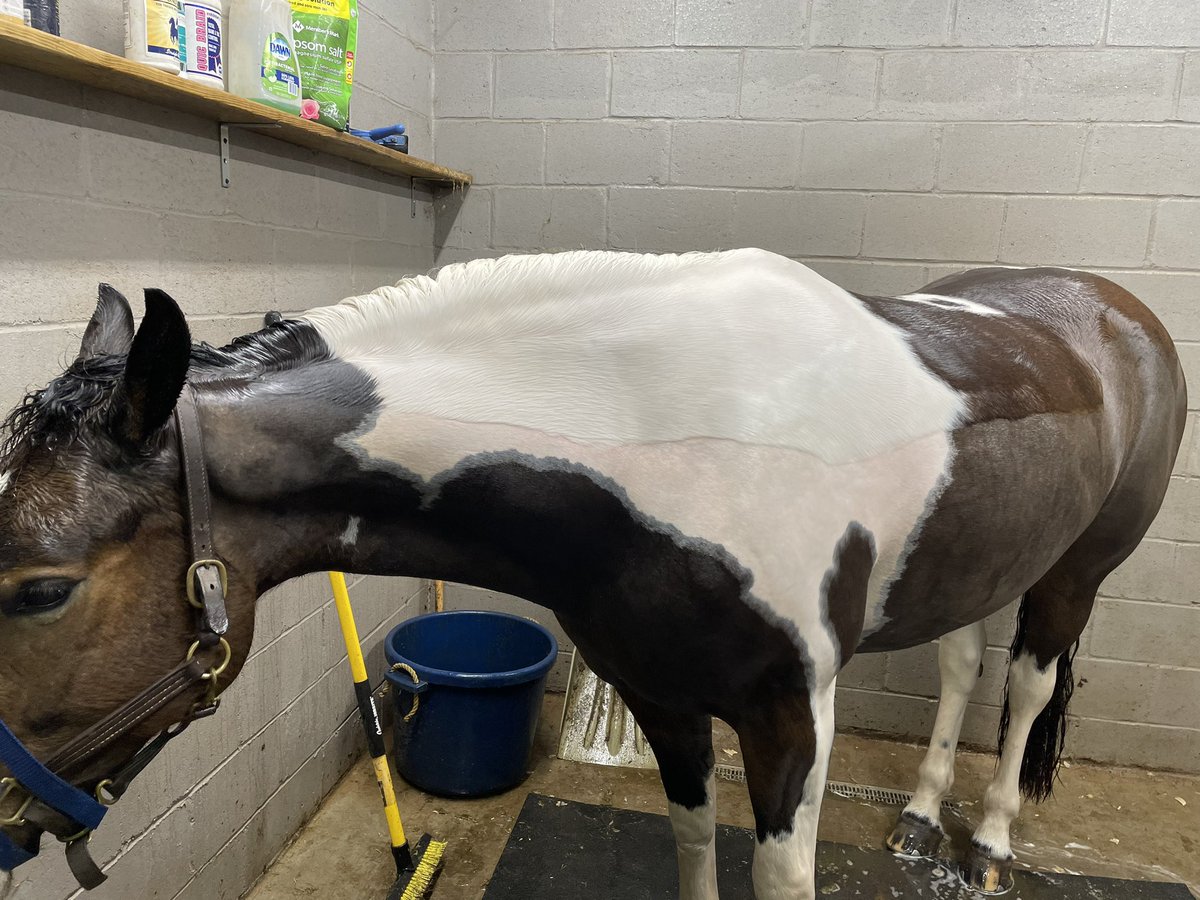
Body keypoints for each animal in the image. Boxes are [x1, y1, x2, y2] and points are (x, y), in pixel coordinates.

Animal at [0, 248, 1185, 900]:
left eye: (41, 590)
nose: (4, 822)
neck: (670, 432)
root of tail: (1114, 313)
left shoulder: (792, 714)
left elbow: (781, 871)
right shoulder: (664, 698)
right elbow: (695, 844)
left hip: (1076, 571)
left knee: (1025, 685)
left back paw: (986, 844)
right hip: (980, 560)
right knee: (961, 666)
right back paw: (920, 817)